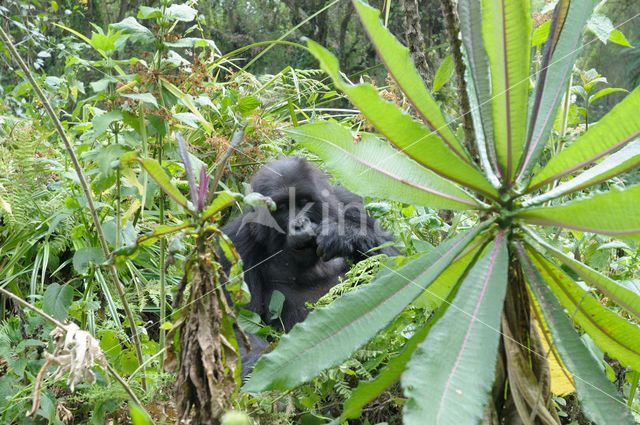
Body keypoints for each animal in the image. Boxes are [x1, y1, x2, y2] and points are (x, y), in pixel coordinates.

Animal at [224, 156, 396, 332]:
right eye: (282, 207)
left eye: (303, 202)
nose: (299, 224)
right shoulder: (237, 242)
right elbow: (241, 322)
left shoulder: (349, 202)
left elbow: (392, 260)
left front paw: (341, 233)